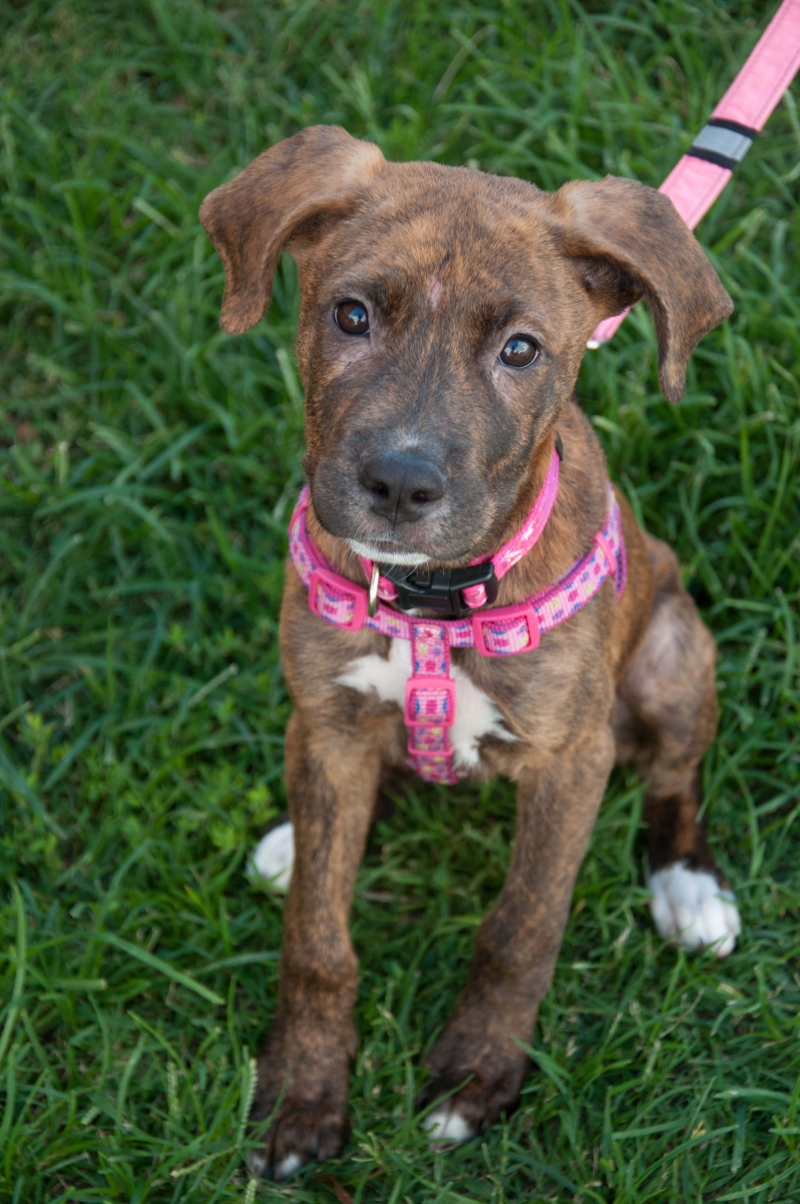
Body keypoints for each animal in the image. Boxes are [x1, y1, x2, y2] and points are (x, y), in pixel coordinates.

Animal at [203, 127, 742, 1179]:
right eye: (353, 314)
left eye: (520, 349)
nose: (400, 482)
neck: (431, 603)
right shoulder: (327, 717)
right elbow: (317, 936)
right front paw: (301, 1089)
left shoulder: (572, 761)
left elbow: (520, 928)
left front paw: (475, 1075)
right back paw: (296, 839)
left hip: (674, 653)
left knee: (673, 774)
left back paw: (688, 882)